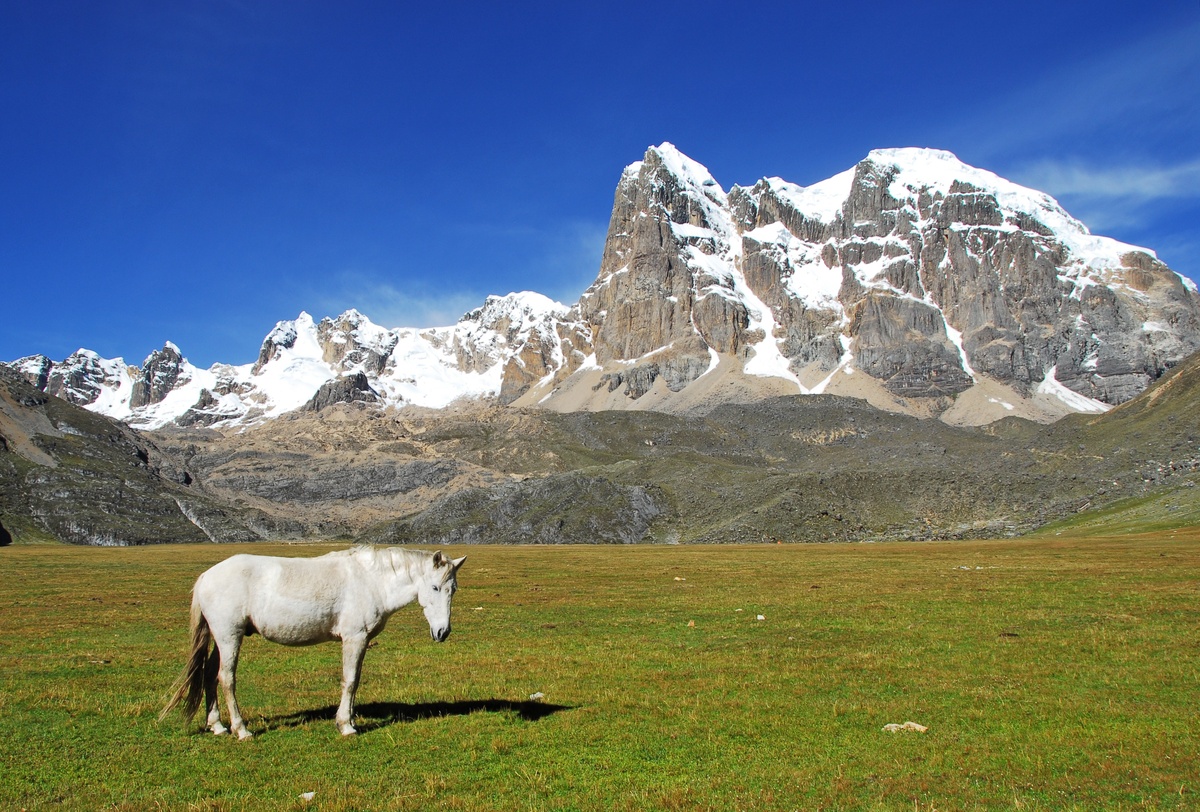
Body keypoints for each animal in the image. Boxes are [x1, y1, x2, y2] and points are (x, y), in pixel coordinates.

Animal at [164, 542, 468, 738]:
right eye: (434, 587)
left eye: (453, 589)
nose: (443, 632)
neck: (371, 580)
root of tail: (206, 576)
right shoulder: (354, 638)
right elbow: (350, 680)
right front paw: (346, 726)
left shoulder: (361, 641)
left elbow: (355, 680)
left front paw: (350, 718)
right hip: (229, 636)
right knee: (226, 678)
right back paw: (241, 730)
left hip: (220, 638)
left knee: (209, 674)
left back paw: (217, 725)